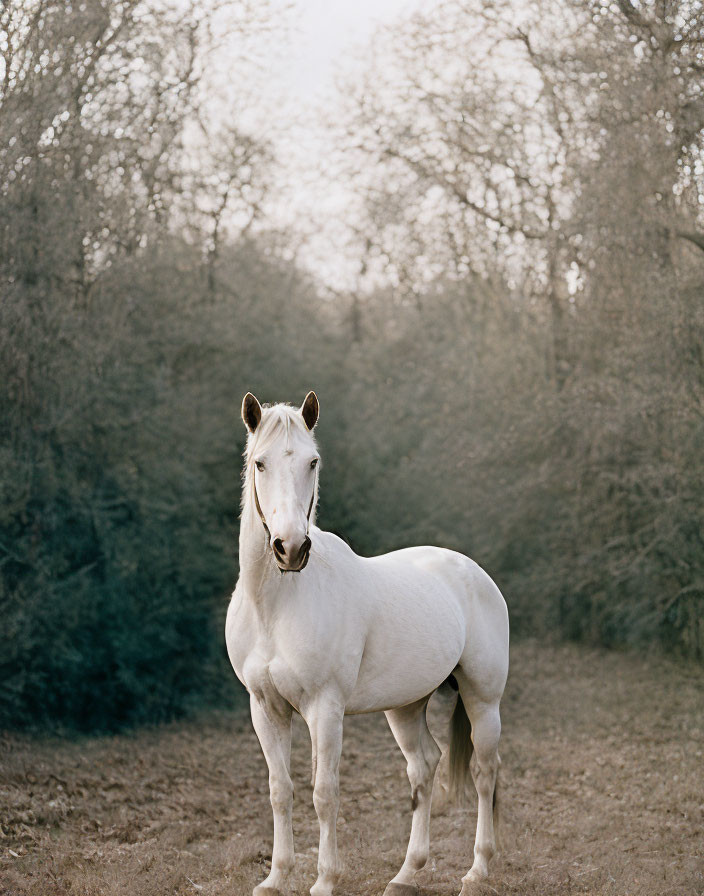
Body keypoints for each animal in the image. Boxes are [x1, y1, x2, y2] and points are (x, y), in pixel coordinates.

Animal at [228, 392, 508, 896]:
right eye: (260, 463)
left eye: (312, 462)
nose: (290, 548)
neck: (277, 605)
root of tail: (472, 571)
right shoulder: (265, 707)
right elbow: (280, 790)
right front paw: (276, 878)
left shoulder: (324, 708)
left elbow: (324, 792)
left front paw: (324, 880)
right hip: (405, 706)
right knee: (424, 768)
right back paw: (406, 874)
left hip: (483, 698)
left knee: (484, 772)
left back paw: (476, 871)